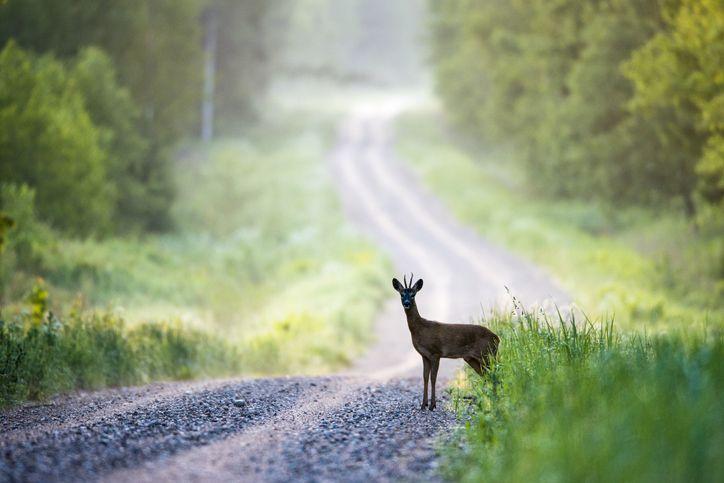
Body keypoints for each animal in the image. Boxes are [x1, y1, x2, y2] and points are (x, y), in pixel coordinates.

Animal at [394, 274, 500, 410]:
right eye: (402, 294)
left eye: (413, 294)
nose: (406, 303)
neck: (420, 329)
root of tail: (497, 338)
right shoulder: (424, 355)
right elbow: (425, 377)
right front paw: (423, 404)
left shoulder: (436, 353)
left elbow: (433, 378)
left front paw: (432, 405)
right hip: (473, 358)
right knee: (487, 375)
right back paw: (489, 401)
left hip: (487, 354)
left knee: (494, 372)